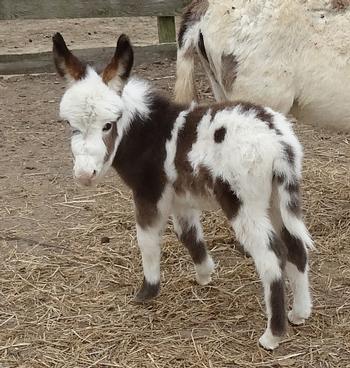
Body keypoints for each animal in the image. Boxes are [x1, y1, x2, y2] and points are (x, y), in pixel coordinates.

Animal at [53, 33, 314, 350]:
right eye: (70, 125)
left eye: (108, 125)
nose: (84, 176)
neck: (146, 132)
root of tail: (278, 141)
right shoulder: (180, 199)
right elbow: (189, 235)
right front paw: (205, 274)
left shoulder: (149, 194)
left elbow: (147, 241)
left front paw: (147, 291)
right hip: (278, 198)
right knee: (295, 247)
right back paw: (299, 313)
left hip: (244, 203)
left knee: (272, 258)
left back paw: (272, 335)